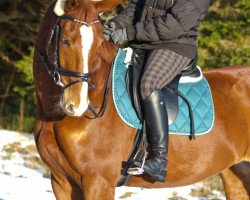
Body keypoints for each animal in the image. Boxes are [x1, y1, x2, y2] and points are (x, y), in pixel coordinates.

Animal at [33, 0, 250, 200]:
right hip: (236, 174)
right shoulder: (61, 181)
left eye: (97, 44)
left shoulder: (98, 182)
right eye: (66, 41)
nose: (77, 105)